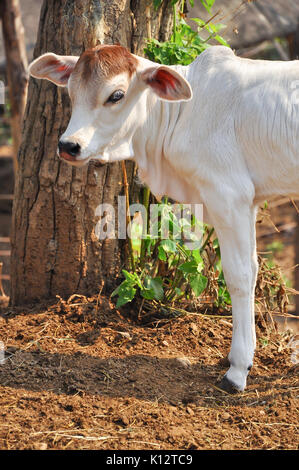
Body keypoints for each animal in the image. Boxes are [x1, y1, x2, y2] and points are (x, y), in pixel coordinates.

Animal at [28, 44, 299, 392]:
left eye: (116, 95)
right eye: (71, 91)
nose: (68, 145)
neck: (183, 112)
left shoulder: (229, 195)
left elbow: (240, 276)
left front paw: (238, 369)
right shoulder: (247, 201)